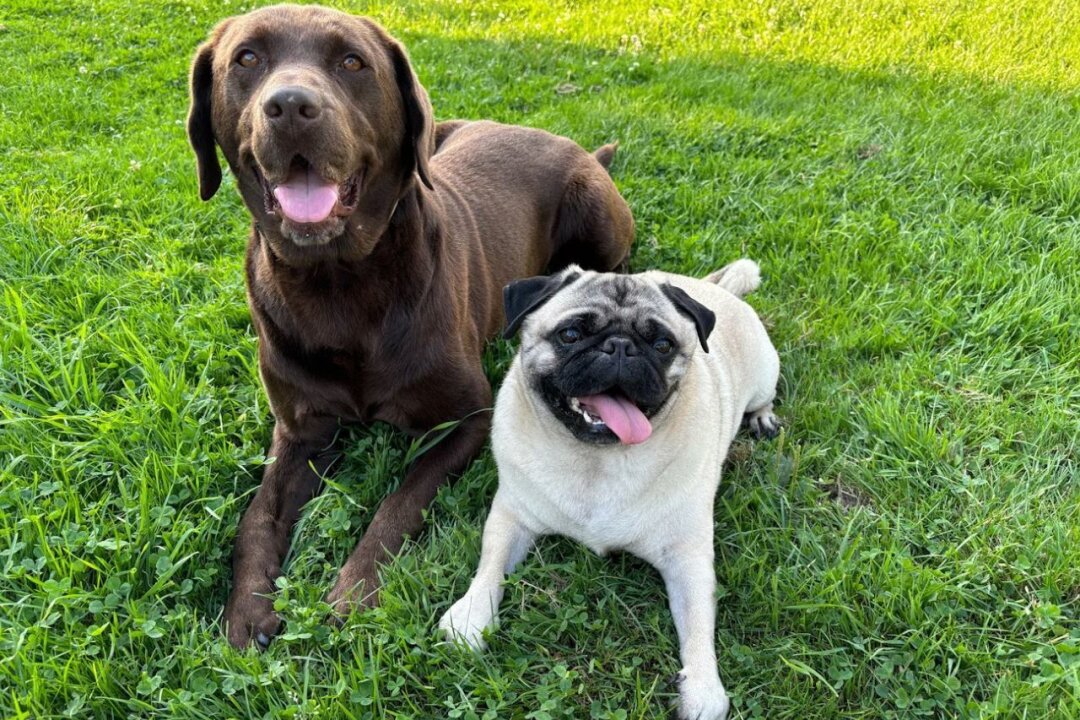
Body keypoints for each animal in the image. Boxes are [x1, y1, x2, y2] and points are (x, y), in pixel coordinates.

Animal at [185, 2, 630, 651]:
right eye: (247, 59)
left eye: (352, 62)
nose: (290, 105)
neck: (338, 285)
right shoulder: (299, 431)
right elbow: (256, 518)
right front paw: (247, 607)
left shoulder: (468, 419)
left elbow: (399, 502)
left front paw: (354, 590)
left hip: (596, 218)